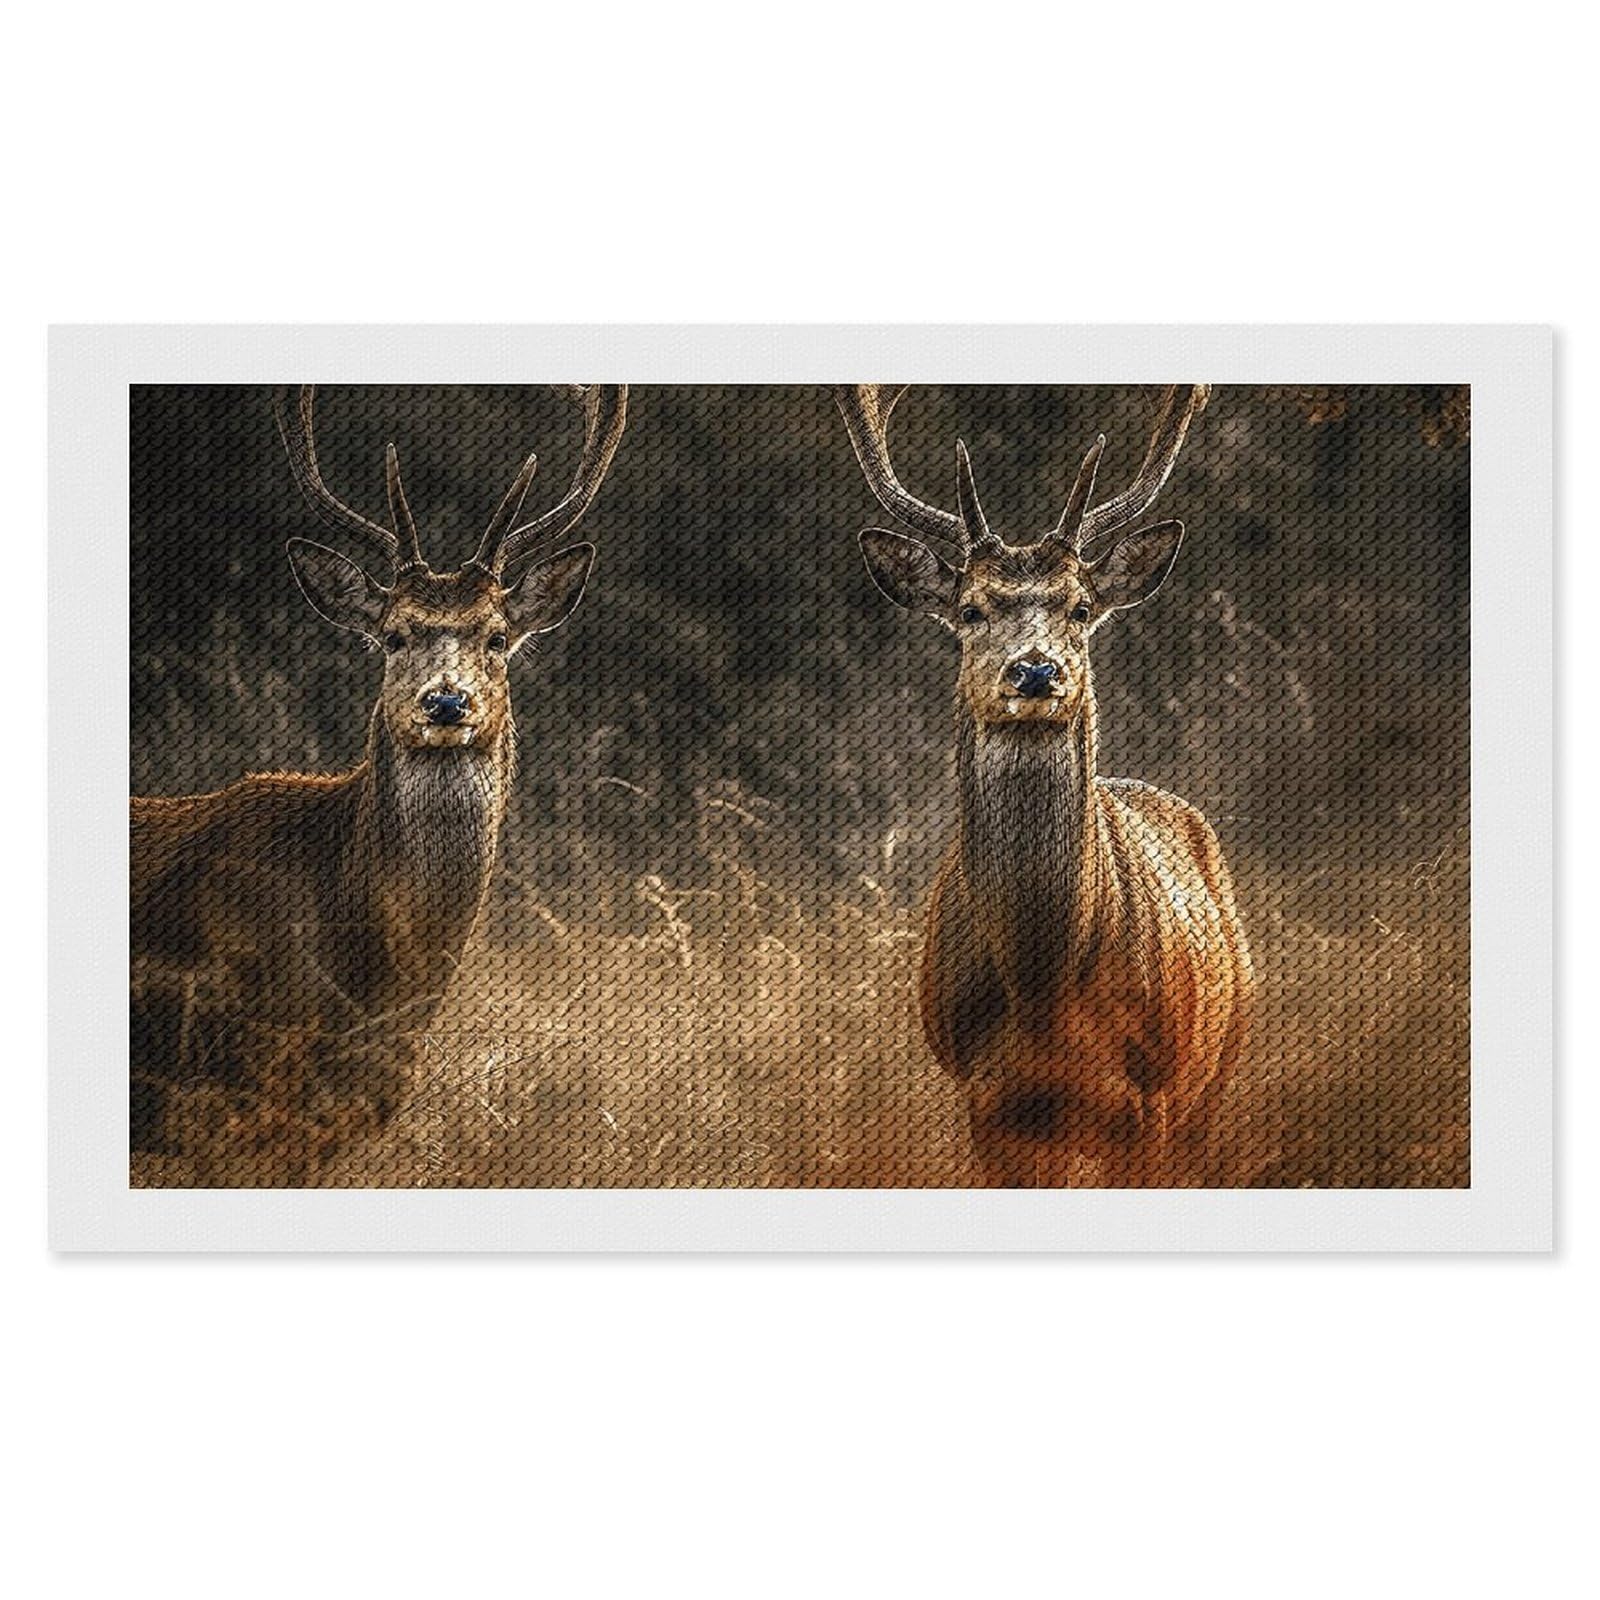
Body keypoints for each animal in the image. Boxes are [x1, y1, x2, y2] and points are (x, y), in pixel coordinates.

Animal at [837, 384, 1252, 1187]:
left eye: (1080, 608)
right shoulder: (989, 1104)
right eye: (970, 609)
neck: (1044, 989)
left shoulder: (1151, 1097)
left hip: (1219, 1066)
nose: (1035, 670)